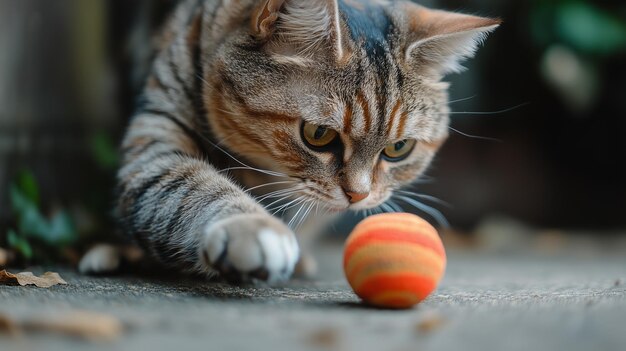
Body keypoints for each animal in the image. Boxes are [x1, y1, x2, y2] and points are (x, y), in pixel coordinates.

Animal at [78, 0, 498, 284]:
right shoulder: (155, 141)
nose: (359, 196)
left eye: (398, 149)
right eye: (318, 135)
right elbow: (190, 188)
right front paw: (251, 227)